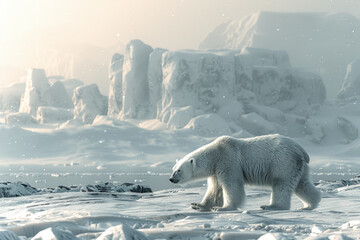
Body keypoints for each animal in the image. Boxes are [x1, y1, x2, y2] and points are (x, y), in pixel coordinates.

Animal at [170, 134, 322, 211]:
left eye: (179, 170)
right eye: (172, 169)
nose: (171, 179)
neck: (215, 153)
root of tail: (301, 149)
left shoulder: (228, 161)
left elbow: (232, 186)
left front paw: (223, 208)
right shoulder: (216, 170)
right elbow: (215, 189)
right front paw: (198, 205)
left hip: (283, 162)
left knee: (282, 184)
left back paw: (272, 206)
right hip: (297, 165)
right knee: (302, 184)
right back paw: (309, 205)